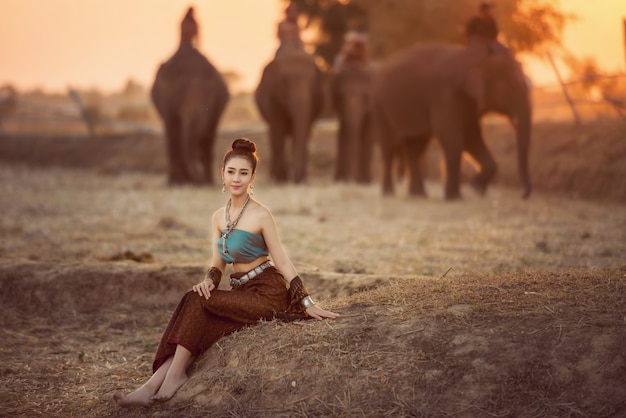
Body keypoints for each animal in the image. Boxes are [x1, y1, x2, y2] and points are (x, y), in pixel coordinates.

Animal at [151, 6, 229, 186]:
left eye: (209, 96)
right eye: (177, 95)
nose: (195, 181)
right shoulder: (165, 101)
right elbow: (173, 127)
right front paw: (175, 183)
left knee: (208, 137)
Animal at [254, 47, 322, 183]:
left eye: (313, 82)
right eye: (284, 81)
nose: (299, 181)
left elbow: (303, 133)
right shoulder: (272, 95)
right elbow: (278, 131)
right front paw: (281, 179)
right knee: (273, 136)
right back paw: (275, 178)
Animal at [368, 42, 528, 199]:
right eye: (511, 86)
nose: (524, 195)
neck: (474, 58)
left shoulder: (469, 102)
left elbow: (471, 137)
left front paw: (475, 187)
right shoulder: (445, 95)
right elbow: (452, 138)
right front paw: (455, 197)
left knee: (416, 146)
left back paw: (418, 195)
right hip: (379, 105)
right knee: (389, 147)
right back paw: (389, 193)